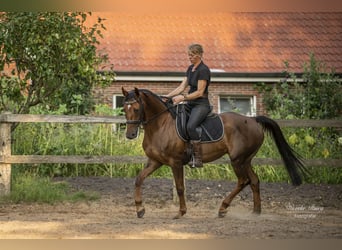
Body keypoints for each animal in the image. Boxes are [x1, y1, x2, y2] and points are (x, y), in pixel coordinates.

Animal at [121, 88, 306, 219]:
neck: (161, 125)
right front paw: (140, 209)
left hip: (237, 159)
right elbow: (138, 180)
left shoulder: (175, 163)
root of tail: (253, 119)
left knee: (243, 181)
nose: (130, 135)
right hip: (246, 160)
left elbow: (180, 188)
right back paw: (255, 212)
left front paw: (181, 212)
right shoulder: (155, 161)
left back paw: (223, 208)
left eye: (136, 109)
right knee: (254, 180)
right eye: (124, 108)